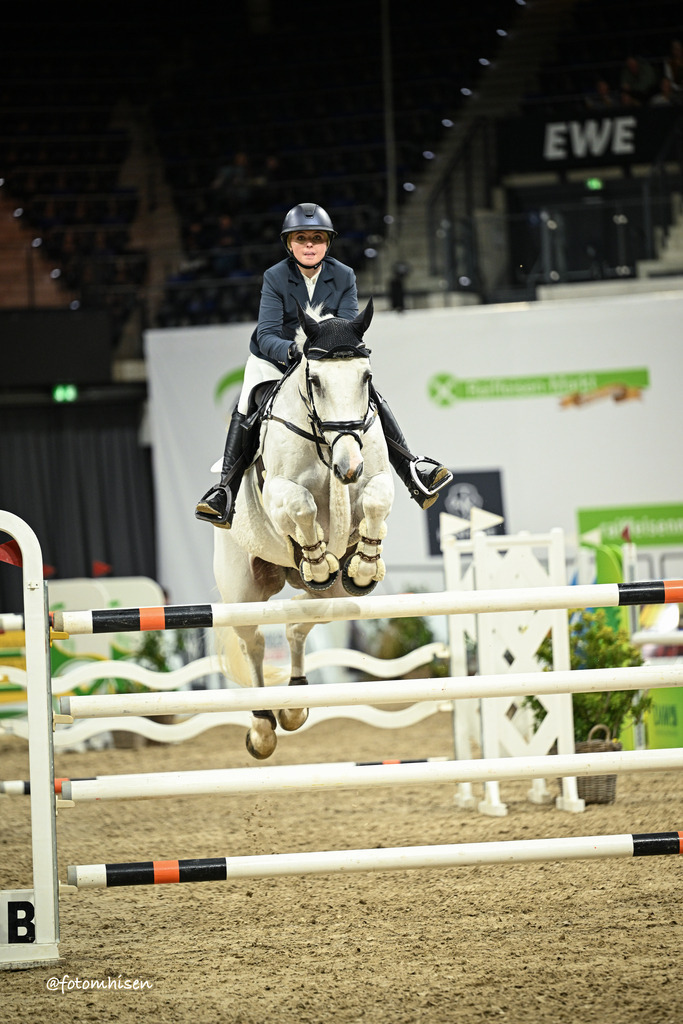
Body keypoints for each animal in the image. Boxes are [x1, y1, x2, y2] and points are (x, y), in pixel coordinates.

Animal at [213, 299, 394, 759]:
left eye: (366, 377)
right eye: (315, 380)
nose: (348, 466)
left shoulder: (374, 477)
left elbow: (375, 500)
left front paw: (365, 564)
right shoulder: (280, 490)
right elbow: (302, 504)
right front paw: (315, 557)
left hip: (335, 597)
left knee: (299, 621)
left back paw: (294, 704)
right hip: (241, 591)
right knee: (255, 643)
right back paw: (263, 726)